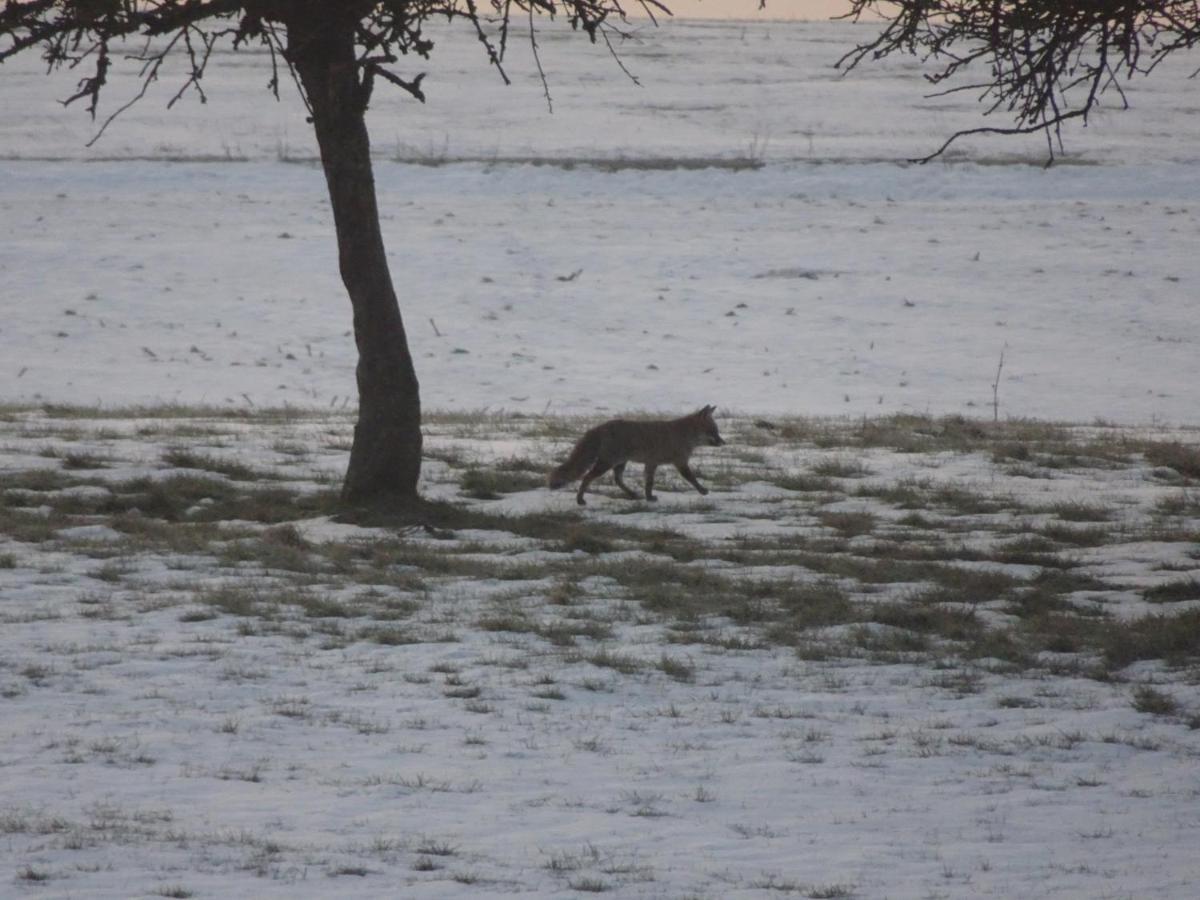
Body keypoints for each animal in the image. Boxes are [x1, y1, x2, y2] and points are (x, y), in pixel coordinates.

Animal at [549, 408, 724, 508]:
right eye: (713, 431)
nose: (724, 442)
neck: (685, 435)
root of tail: (598, 428)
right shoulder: (679, 462)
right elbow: (692, 479)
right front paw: (703, 490)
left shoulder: (652, 463)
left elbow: (649, 483)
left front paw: (649, 498)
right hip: (607, 463)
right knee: (587, 477)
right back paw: (580, 500)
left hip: (620, 463)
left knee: (617, 480)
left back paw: (632, 494)